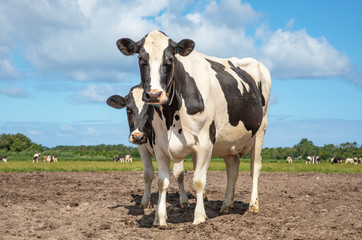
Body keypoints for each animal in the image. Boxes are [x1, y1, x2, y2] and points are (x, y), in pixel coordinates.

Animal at [116, 30, 272, 225]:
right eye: (141, 59)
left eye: (170, 59)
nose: (153, 95)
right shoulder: (159, 146)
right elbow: (161, 181)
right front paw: (160, 218)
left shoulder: (205, 142)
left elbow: (198, 180)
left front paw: (199, 217)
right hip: (228, 142)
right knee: (233, 170)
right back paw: (226, 205)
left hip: (260, 130)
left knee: (255, 168)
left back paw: (253, 206)